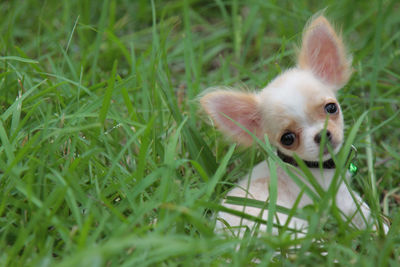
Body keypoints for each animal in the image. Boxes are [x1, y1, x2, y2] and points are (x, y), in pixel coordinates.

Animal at [200, 15, 388, 237]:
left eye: (331, 108)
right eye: (287, 139)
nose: (321, 135)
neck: (314, 167)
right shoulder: (344, 202)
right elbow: (368, 218)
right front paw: (385, 235)